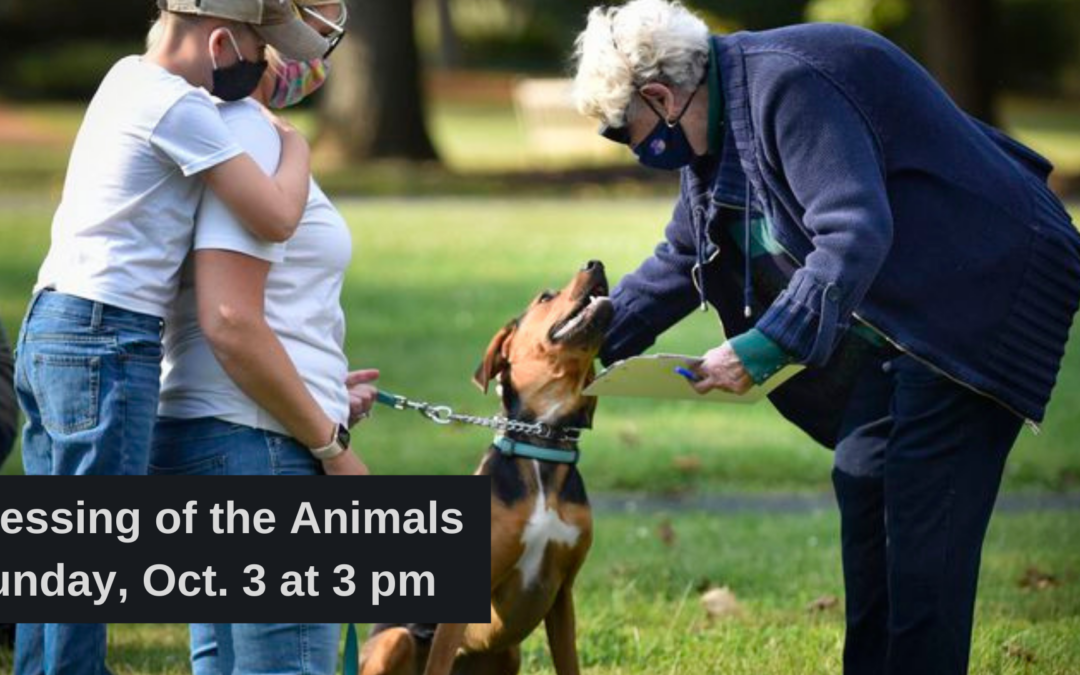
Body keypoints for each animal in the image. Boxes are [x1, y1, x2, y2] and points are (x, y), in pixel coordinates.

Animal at [360, 260, 617, 669]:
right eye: (545, 297)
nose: (595, 263)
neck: (541, 446)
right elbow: (437, 664)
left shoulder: (563, 594)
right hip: (394, 640)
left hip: (509, 653)